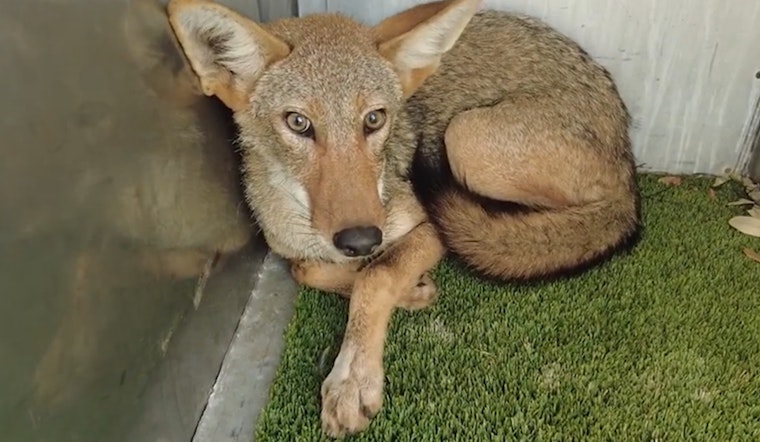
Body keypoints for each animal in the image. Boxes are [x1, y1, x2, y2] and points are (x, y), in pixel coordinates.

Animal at [166, 0, 640, 436]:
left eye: (374, 119)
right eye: (298, 122)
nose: (361, 239)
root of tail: (629, 166)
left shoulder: (428, 229)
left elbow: (377, 276)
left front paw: (353, 377)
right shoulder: (295, 248)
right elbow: (314, 270)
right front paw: (408, 290)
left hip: (466, 138)